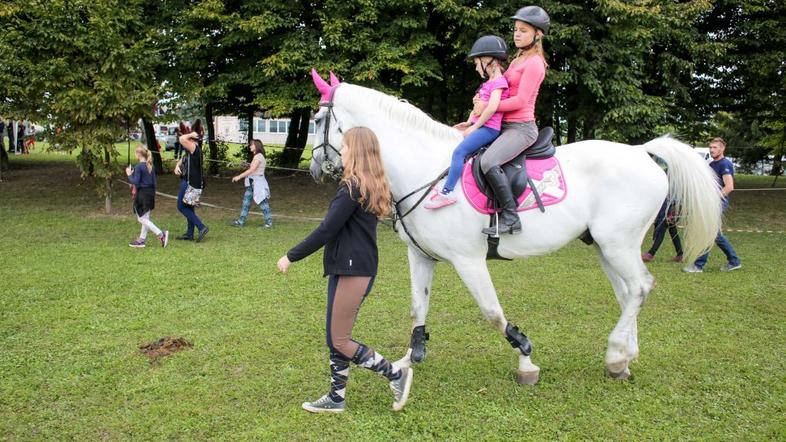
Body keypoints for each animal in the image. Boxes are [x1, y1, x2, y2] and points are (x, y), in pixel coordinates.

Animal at [306, 72, 716, 384]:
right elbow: (417, 308)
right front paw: (409, 360)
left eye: (316, 120)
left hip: (618, 244)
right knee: (629, 292)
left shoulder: (468, 260)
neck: (425, 169)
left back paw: (616, 355)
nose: (313, 169)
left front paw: (526, 359)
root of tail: (640, 152)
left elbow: (492, 312)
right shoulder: (421, 256)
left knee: (640, 288)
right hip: (607, 247)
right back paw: (624, 357)